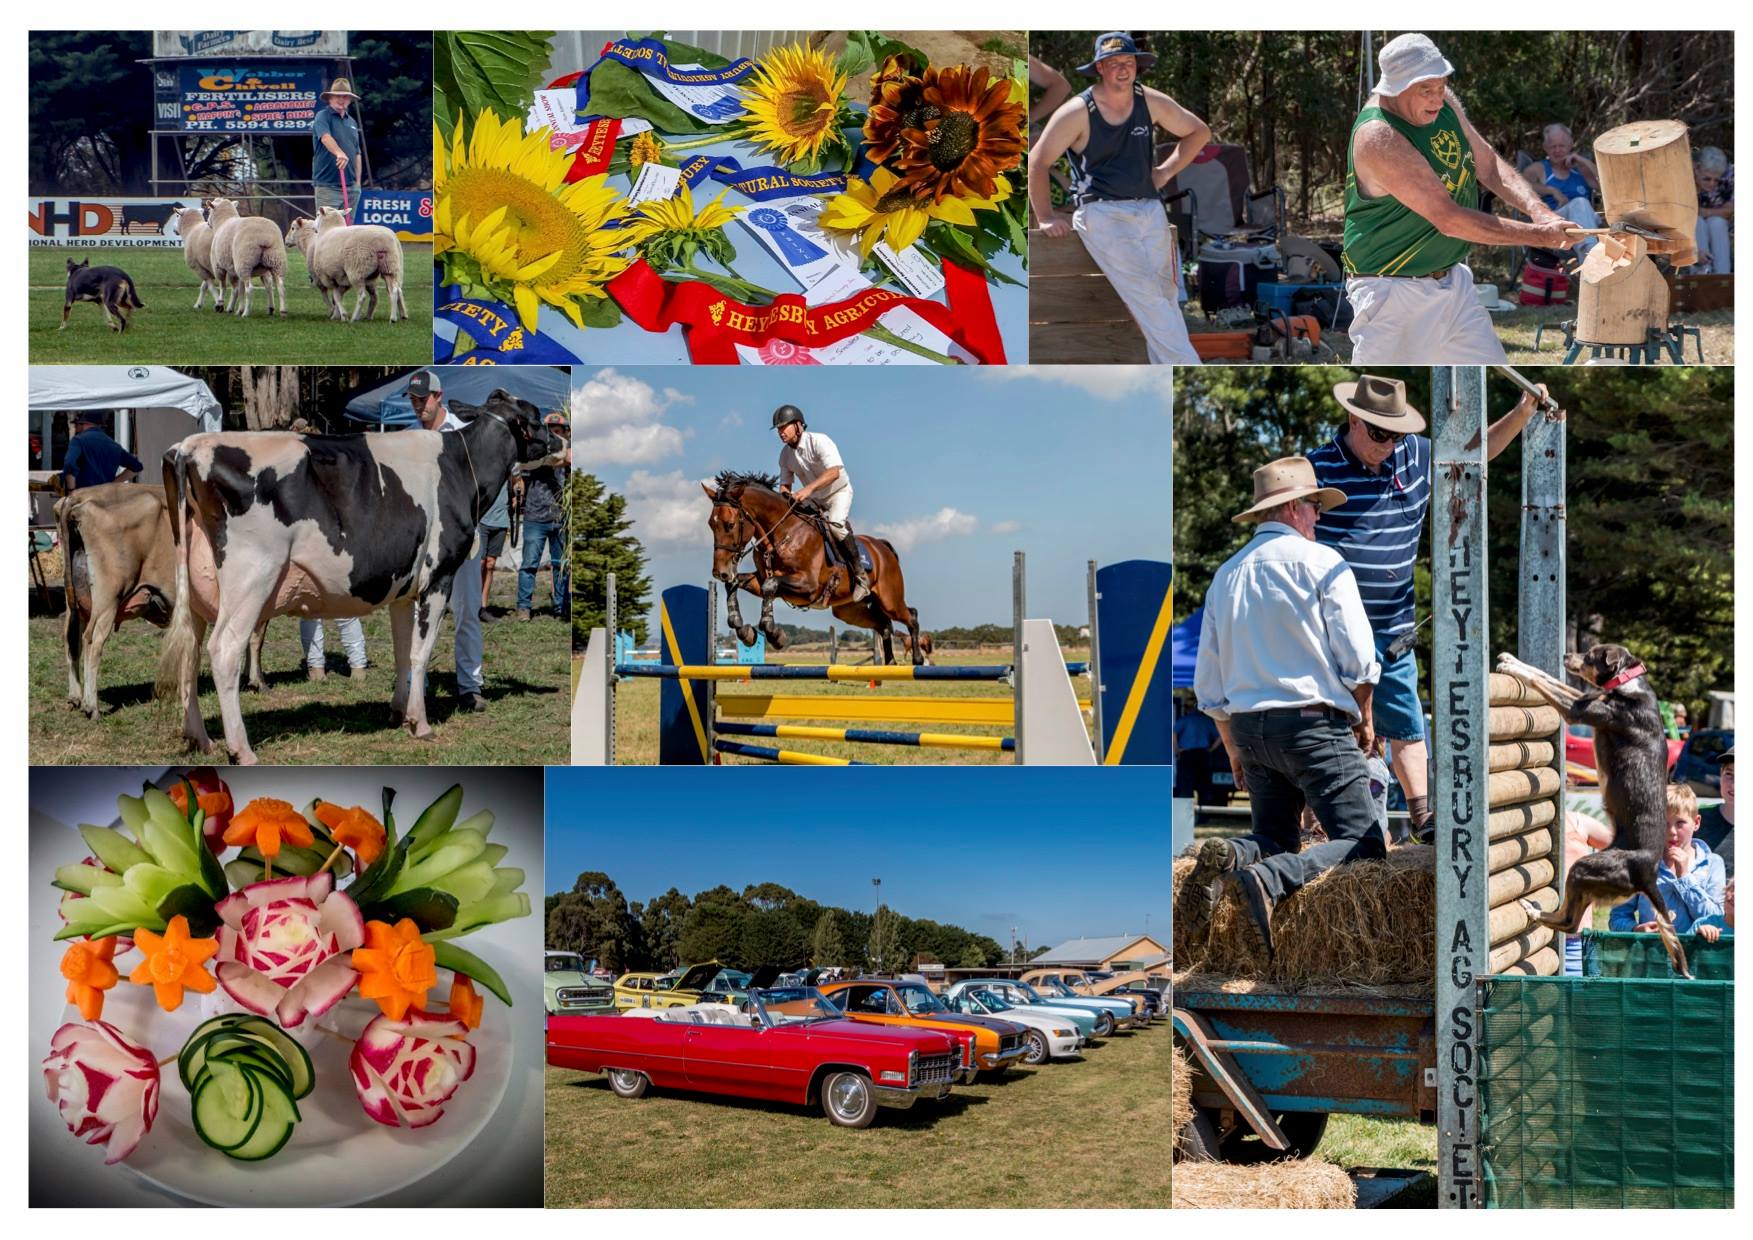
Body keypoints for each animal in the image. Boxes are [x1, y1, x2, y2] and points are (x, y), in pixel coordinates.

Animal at [160, 394, 560, 764]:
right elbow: (420, 653)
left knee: (189, 654)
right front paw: (421, 724)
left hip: (195, 590)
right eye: (536, 416)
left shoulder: (404, 587)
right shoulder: (438, 577)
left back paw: (201, 739)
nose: (560, 440)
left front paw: (399, 713)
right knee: (223, 651)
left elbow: (402, 651)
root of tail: (189, 446)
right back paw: (241, 750)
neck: (460, 467)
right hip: (252, 577)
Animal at [697, 473, 925, 669]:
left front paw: (774, 634)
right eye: (710, 525)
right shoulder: (760, 579)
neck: (783, 533)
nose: (720, 572)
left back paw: (918, 659)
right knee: (884, 624)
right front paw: (744, 630)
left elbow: (771, 585)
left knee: (910, 616)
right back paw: (890, 662)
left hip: (889, 599)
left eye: (730, 525)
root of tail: (882, 547)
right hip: (850, 611)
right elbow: (737, 583)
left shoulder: (809, 586)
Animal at [1493, 645, 1682, 975]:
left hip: (1583, 869)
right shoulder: (1583, 698)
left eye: (1592, 654)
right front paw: (1512, 660)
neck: (1626, 681)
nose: (1567, 655)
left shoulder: (1577, 710)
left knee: (1569, 922)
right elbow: (1548, 677)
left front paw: (1510, 668)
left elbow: (1539, 680)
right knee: (1569, 921)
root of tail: (1648, 874)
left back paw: (1533, 910)